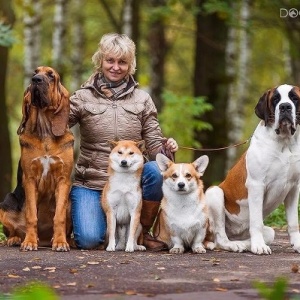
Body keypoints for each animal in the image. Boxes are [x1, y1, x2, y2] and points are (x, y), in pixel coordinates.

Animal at [206, 84, 300, 255]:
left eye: (294, 98)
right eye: (275, 99)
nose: (285, 106)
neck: (284, 142)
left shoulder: (293, 188)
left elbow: (293, 222)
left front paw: (297, 244)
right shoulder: (257, 185)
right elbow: (255, 221)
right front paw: (259, 246)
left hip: (267, 231)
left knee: (265, 233)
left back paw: (242, 244)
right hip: (214, 193)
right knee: (220, 238)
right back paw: (234, 245)